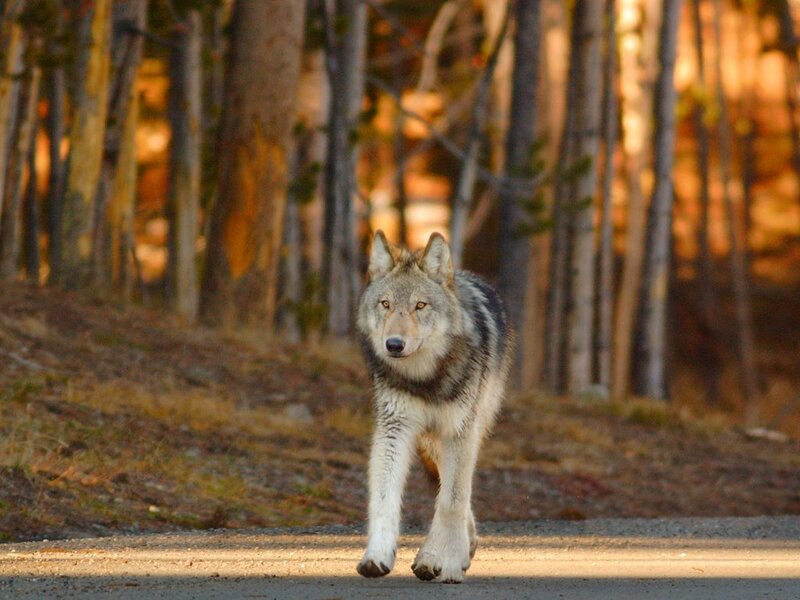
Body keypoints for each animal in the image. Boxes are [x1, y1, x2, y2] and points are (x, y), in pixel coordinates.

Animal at [355, 231, 512, 584]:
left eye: (420, 306)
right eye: (386, 304)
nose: (394, 344)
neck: (426, 379)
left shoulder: (460, 431)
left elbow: (452, 500)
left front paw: (446, 563)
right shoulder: (395, 429)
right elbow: (384, 497)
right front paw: (377, 556)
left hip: (467, 427)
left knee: (457, 491)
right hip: (429, 441)